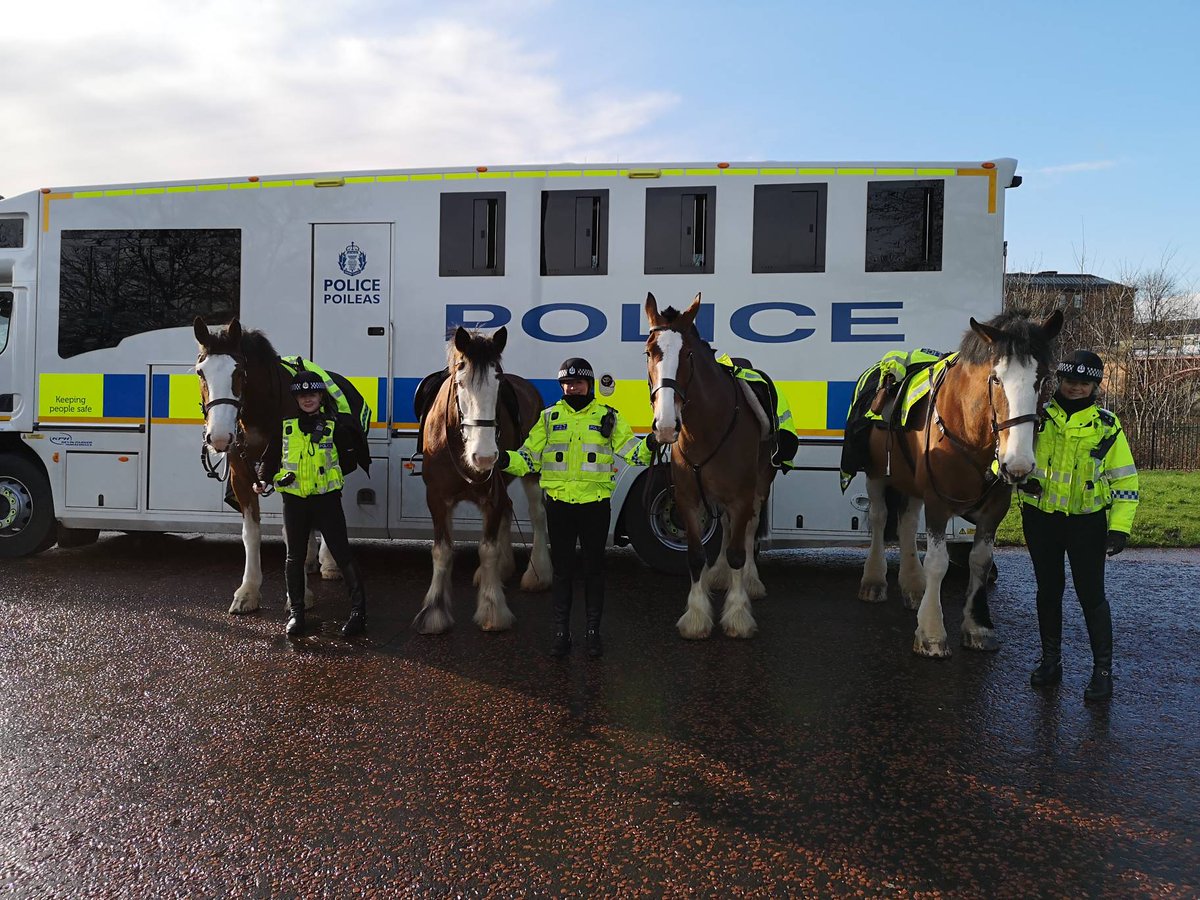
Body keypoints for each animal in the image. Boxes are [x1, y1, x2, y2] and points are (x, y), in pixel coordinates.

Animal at [194, 314, 369, 614]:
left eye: (239, 372)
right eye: (200, 372)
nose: (218, 437)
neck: (259, 414)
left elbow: (292, 532)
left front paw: (299, 594)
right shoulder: (243, 476)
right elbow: (252, 533)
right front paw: (248, 591)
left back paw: (329, 562)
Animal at [408, 326, 549, 633]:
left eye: (498, 383)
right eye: (460, 383)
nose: (484, 456)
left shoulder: (490, 496)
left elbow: (488, 550)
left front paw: (492, 608)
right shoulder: (436, 498)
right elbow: (442, 551)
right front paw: (435, 611)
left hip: (531, 474)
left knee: (537, 514)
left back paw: (537, 574)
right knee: (510, 508)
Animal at [648, 292, 777, 638]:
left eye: (688, 354)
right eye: (649, 352)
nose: (666, 425)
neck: (707, 428)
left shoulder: (742, 496)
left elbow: (737, 552)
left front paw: (737, 615)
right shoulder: (687, 499)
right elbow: (695, 556)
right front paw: (696, 616)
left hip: (760, 482)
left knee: (747, 529)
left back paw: (752, 581)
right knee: (729, 527)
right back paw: (719, 575)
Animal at [859, 309, 1065, 657]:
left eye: (1042, 379)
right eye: (996, 378)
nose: (1018, 464)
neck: (968, 431)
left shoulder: (995, 507)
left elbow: (980, 561)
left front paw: (978, 626)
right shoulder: (937, 500)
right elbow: (937, 562)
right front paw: (931, 631)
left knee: (906, 523)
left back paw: (913, 586)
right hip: (876, 474)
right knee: (878, 517)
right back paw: (874, 580)